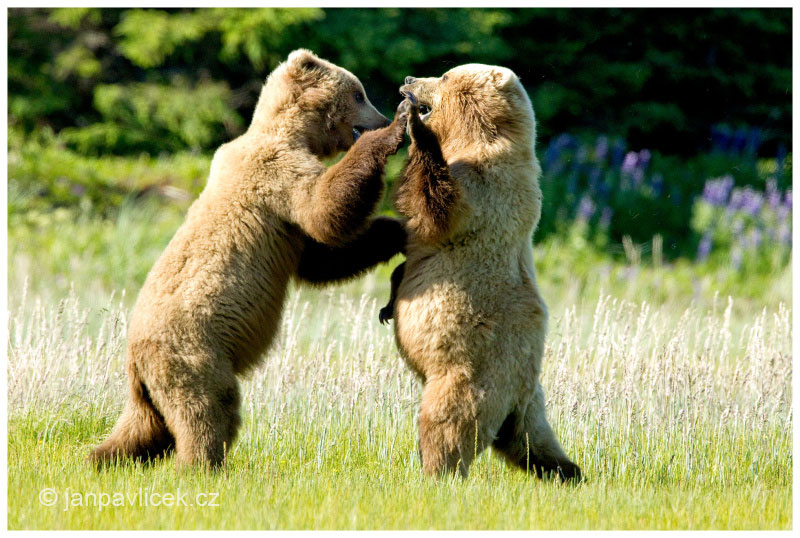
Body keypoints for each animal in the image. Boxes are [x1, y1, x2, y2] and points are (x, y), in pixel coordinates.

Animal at [90, 51, 410, 468]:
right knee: (209, 409)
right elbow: (325, 211)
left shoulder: (286, 223)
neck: (294, 133)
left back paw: (101, 458)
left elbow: (323, 258)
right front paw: (394, 133)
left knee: (143, 427)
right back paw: (201, 466)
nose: (383, 116)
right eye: (359, 93)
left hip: (150, 386)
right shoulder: (278, 175)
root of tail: (134, 356)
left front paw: (397, 230)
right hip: (195, 355)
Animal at [382, 65, 580, 480]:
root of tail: (520, 390)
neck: (473, 136)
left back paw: (435, 471)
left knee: (448, 423)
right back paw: (569, 471)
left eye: (442, 76)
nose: (408, 80)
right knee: (533, 442)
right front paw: (389, 301)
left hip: (471, 372)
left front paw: (415, 127)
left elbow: (436, 204)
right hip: (528, 405)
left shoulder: (486, 188)